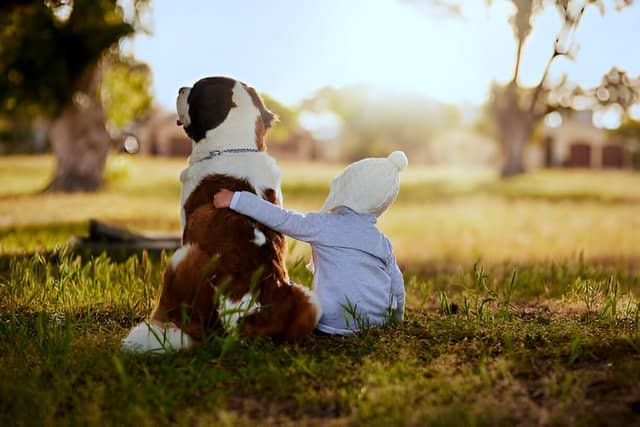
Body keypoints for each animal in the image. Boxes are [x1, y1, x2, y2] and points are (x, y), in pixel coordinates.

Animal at [121, 77, 320, 354]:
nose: (181, 88)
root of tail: (246, 319)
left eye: (195, 90)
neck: (234, 148)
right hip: (309, 300)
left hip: (182, 257)